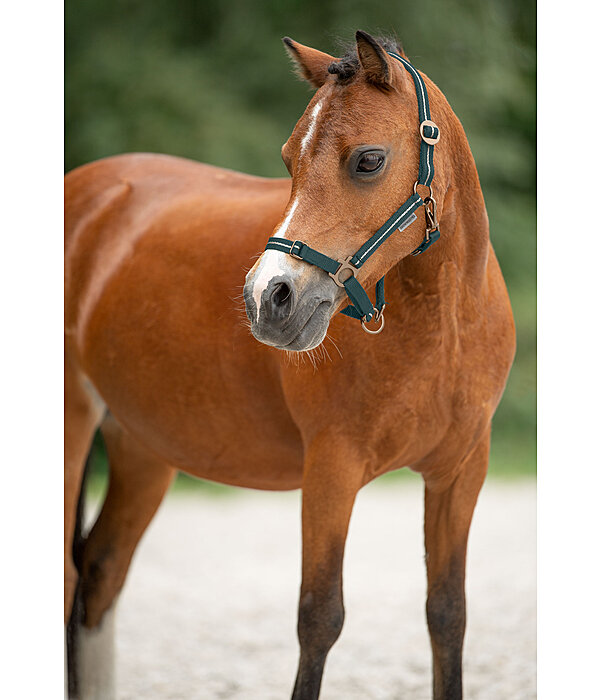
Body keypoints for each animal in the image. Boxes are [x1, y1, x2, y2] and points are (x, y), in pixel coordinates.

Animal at [64, 32, 516, 700]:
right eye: (287, 160)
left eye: (368, 161)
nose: (269, 298)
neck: (446, 326)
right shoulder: (331, 468)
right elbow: (319, 617)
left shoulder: (461, 472)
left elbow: (447, 614)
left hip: (142, 449)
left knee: (100, 577)